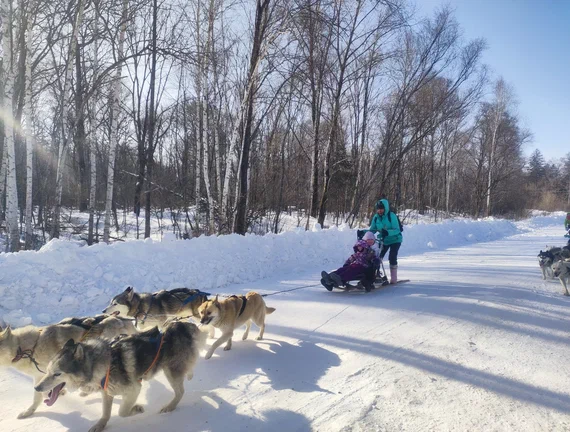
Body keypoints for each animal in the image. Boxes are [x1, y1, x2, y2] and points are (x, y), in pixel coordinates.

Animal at [35, 320, 206, 432]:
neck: (102, 365)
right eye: (47, 371)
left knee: (180, 391)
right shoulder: (107, 392)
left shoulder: (134, 389)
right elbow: (106, 413)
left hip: (170, 371)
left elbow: (122, 412)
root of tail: (183, 325)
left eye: (57, 374)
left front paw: (136, 409)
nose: (36, 387)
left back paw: (170, 406)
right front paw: (100, 425)